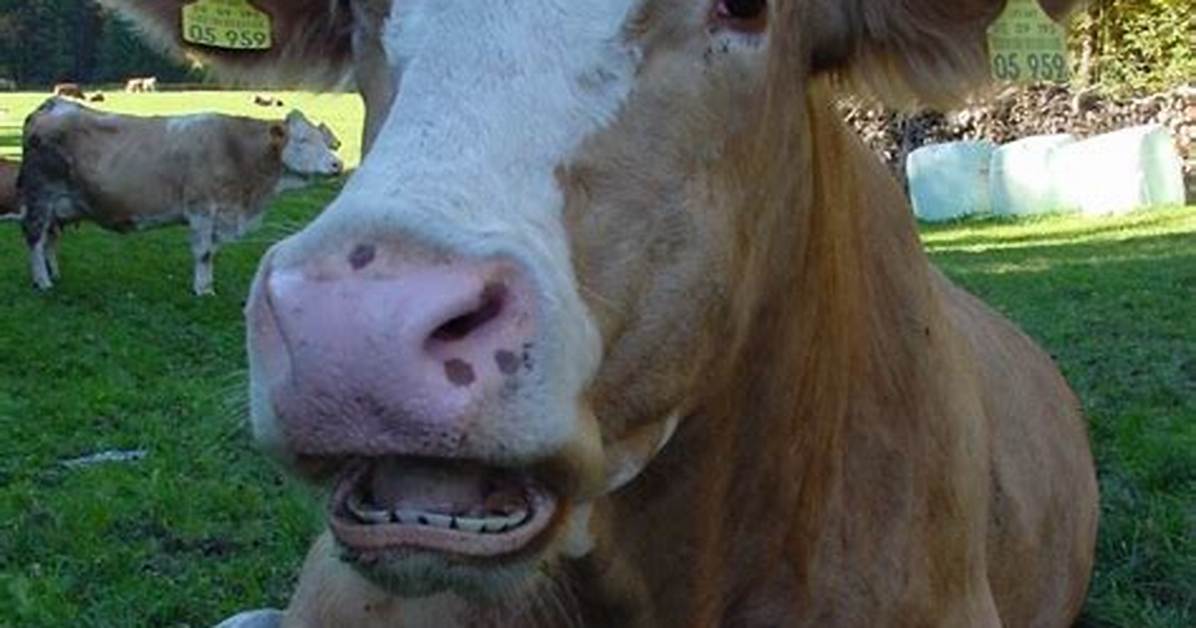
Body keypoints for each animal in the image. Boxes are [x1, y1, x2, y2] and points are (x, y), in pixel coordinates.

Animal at [19, 98, 344, 295]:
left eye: (326, 142)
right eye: (302, 140)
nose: (337, 165)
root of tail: (55, 104)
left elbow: (212, 252)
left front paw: (207, 283)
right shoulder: (202, 209)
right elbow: (203, 252)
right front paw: (204, 290)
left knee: (49, 237)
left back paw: (53, 273)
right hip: (40, 194)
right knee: (35, 237)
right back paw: (42, 281)